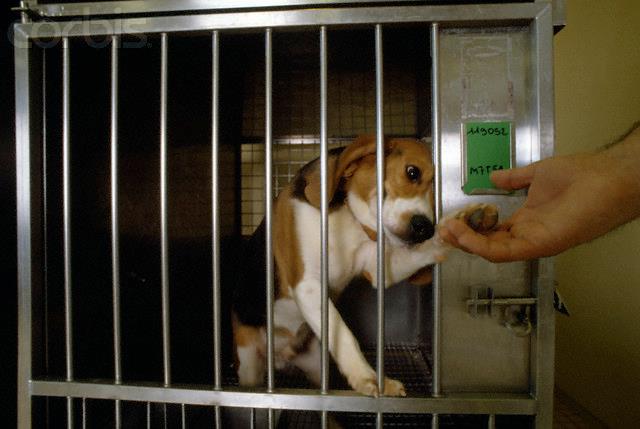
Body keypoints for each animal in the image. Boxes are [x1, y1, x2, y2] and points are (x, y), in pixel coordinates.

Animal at [232, 135, 498, 397]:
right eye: (412, 172)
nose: (425, 228)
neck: (347, 217)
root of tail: (280, 357)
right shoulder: (307, 284)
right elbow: (344, 334)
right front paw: (368, 378)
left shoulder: (377, 267)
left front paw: (467, 223)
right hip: (249, 361)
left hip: (317, 367)